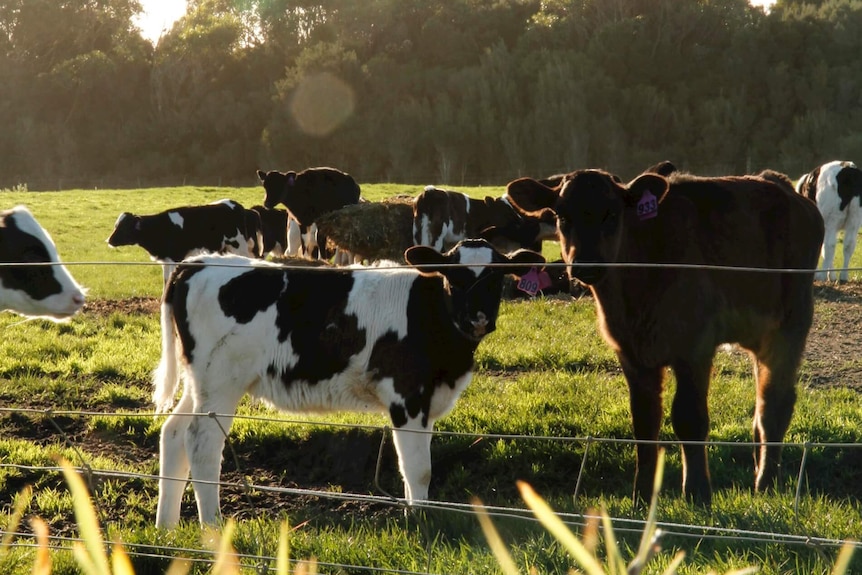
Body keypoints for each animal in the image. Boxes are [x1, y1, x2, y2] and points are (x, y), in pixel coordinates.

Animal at [106, 199, 260, 284]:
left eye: (123, 227)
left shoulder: (176, 258)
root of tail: (239, 207)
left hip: (239, 245)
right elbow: (166, 281)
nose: (109, 240)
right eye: (116, 225)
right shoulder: (166, 260)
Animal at [154, 238, 548, 528]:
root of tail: (197, 262)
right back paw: (213, 527)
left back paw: (167, 527)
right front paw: (419, 520)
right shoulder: (406, 397)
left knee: (174, 433)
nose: (477, 318)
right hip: (222, 382)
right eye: (455, 278)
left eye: (496, 278)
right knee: (201, 442)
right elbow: (418, 468)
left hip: (200, 382)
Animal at [510, 170, 828, 504]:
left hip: (790, 323)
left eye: (612, 214)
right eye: (561, 215)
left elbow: (690, 419)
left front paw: (698, 493)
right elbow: (644, 422)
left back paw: (766, 483)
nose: (585, 263)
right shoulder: (631, 354)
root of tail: (782, 186)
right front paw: (641, 496)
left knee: (774, 404)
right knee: (760, 405)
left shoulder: (695, 347)